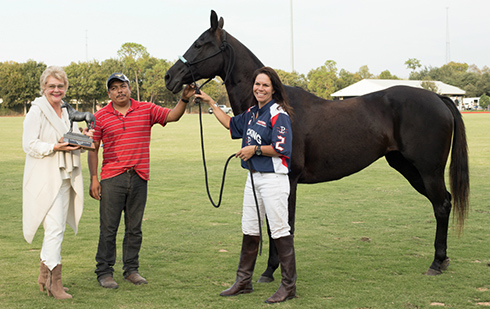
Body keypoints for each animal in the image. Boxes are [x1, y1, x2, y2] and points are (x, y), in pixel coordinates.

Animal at [166, 10, 470, 278]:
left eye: (199, 43)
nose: (170, 76)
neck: (276, 104)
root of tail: (438, 98)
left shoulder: (288, 180)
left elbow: (282, 225)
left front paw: (272, 271)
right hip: (408, 167)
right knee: (443, 201)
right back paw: (442, 260)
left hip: (428, 170)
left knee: (442, 205)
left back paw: (436, 262)